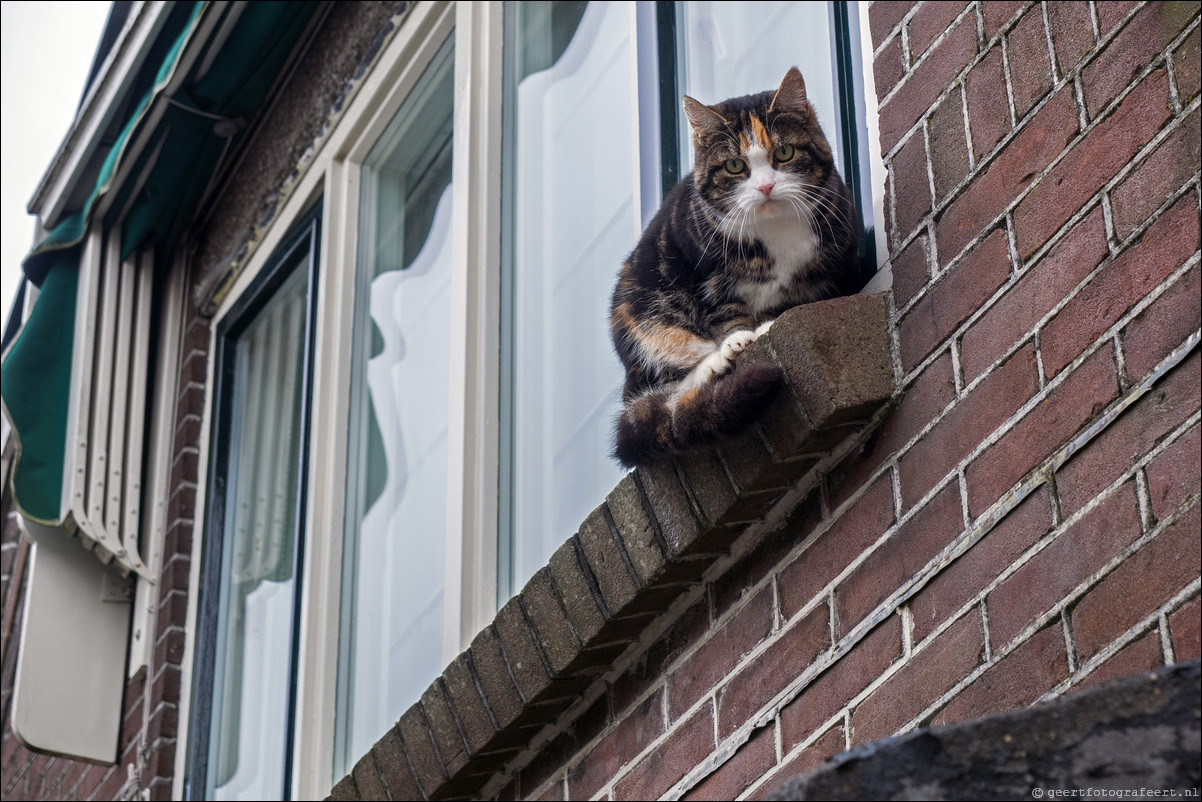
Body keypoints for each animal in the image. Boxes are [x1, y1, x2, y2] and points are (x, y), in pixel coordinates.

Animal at [610, 69, 865, 471]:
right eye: (734, 166)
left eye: (784, 153)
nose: (764, 186)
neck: (776, 230)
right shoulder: (699, 268)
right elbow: (722, 308)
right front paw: (739, 337)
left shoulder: (831, 271)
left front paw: (767, 325)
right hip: (638, 304)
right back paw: (714, 364)